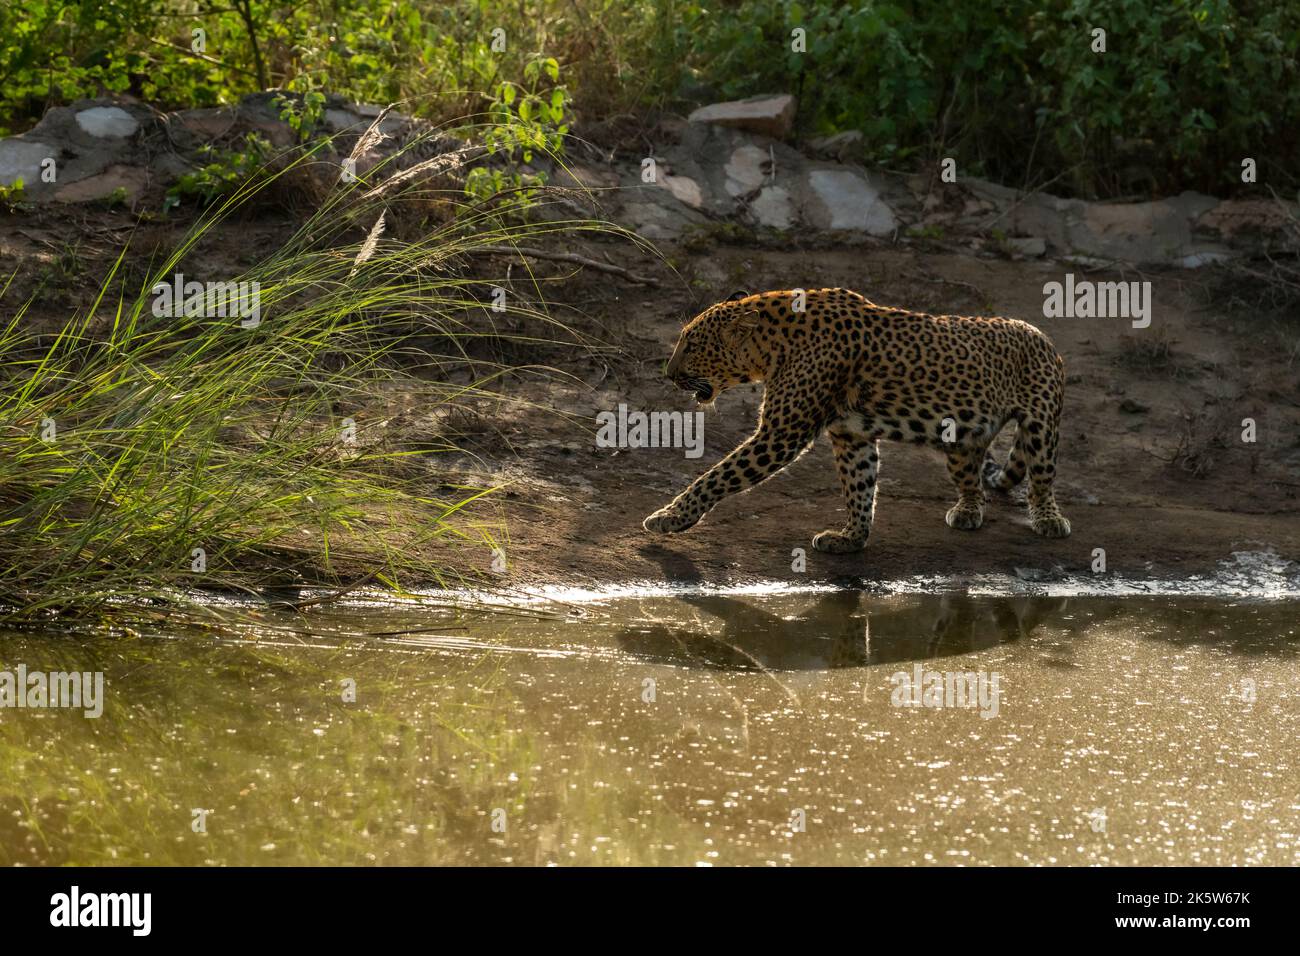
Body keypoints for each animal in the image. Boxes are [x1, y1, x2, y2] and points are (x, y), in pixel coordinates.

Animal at [642, 286, 1076, 554]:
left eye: (691, 345)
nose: (668, 373)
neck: (771, 347)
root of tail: (1040, 334)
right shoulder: (851, 435)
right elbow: (859, 487)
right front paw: (850, 537)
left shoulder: (780, 435)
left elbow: (716, 475)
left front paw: (670, 517)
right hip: (962, 441)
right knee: (972, 480)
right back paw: (968, 510)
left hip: (1041, 424)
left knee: (1042, 477)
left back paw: (1049, 519)